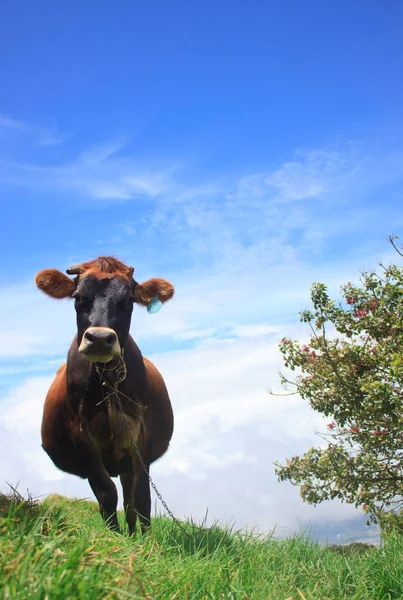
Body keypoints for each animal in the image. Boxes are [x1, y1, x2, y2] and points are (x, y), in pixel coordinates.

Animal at [36, 256, 177, 536]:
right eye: (78, 297)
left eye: (128, 300)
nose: (100, 338)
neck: (108, 381)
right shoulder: (82, 435)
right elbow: (106, 494)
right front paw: (115, 537)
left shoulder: (139, 433)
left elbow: (141, 496)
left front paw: (145, 541)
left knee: (130, 498)